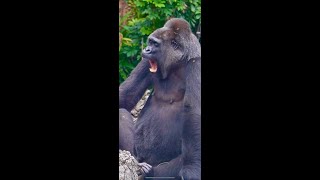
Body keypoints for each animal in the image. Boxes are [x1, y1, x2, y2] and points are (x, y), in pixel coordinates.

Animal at [119, 17, 200, 179]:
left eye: (155, 44)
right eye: (149, 42)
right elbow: (126, 96)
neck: (178, 61)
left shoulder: (197, 63)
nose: (146, 50)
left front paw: (191, 168)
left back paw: (151, 172)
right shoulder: (147, 62)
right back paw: (139, 165)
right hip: (137, 153)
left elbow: (193, 112)